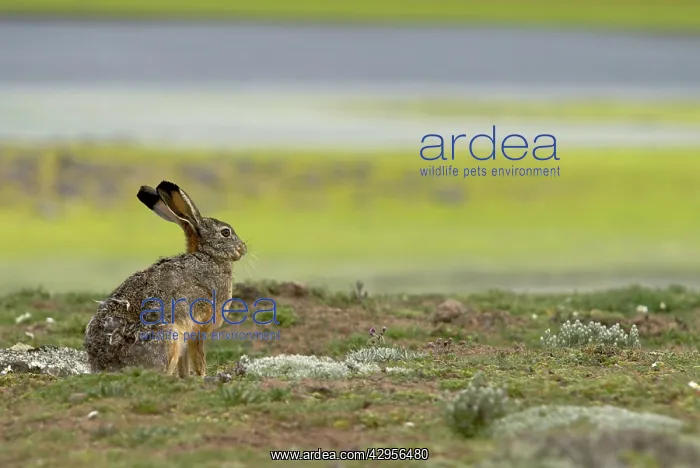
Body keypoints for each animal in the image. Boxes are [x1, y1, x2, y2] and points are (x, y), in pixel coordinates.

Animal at [83, 180, 247, 378]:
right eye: (225, 233)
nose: (243, 249)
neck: (208, 256)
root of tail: (108, 366)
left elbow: (185, 361)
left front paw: (187, 377)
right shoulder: (198, 326)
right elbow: (198, 356)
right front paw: (202, 376)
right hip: (169, 337)